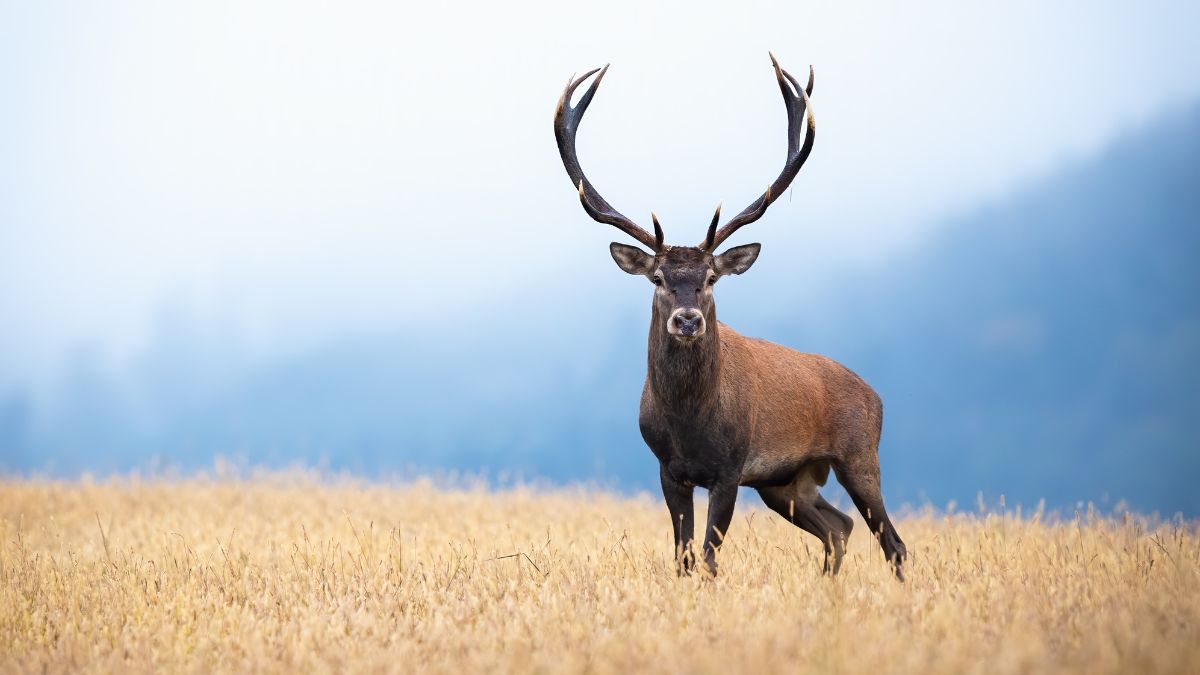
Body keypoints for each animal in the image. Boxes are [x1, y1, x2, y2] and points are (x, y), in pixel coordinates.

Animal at [553, 54, 907, 580]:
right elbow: (683, 557)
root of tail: (876, 395)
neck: (689, 424)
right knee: (838, 526)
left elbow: (708, 556)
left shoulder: (731, 468)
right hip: (786, 481)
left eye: (710, 278)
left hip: (859, 453)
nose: (687, 320)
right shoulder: (668, 470)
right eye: (657, 277)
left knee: (891, 540)